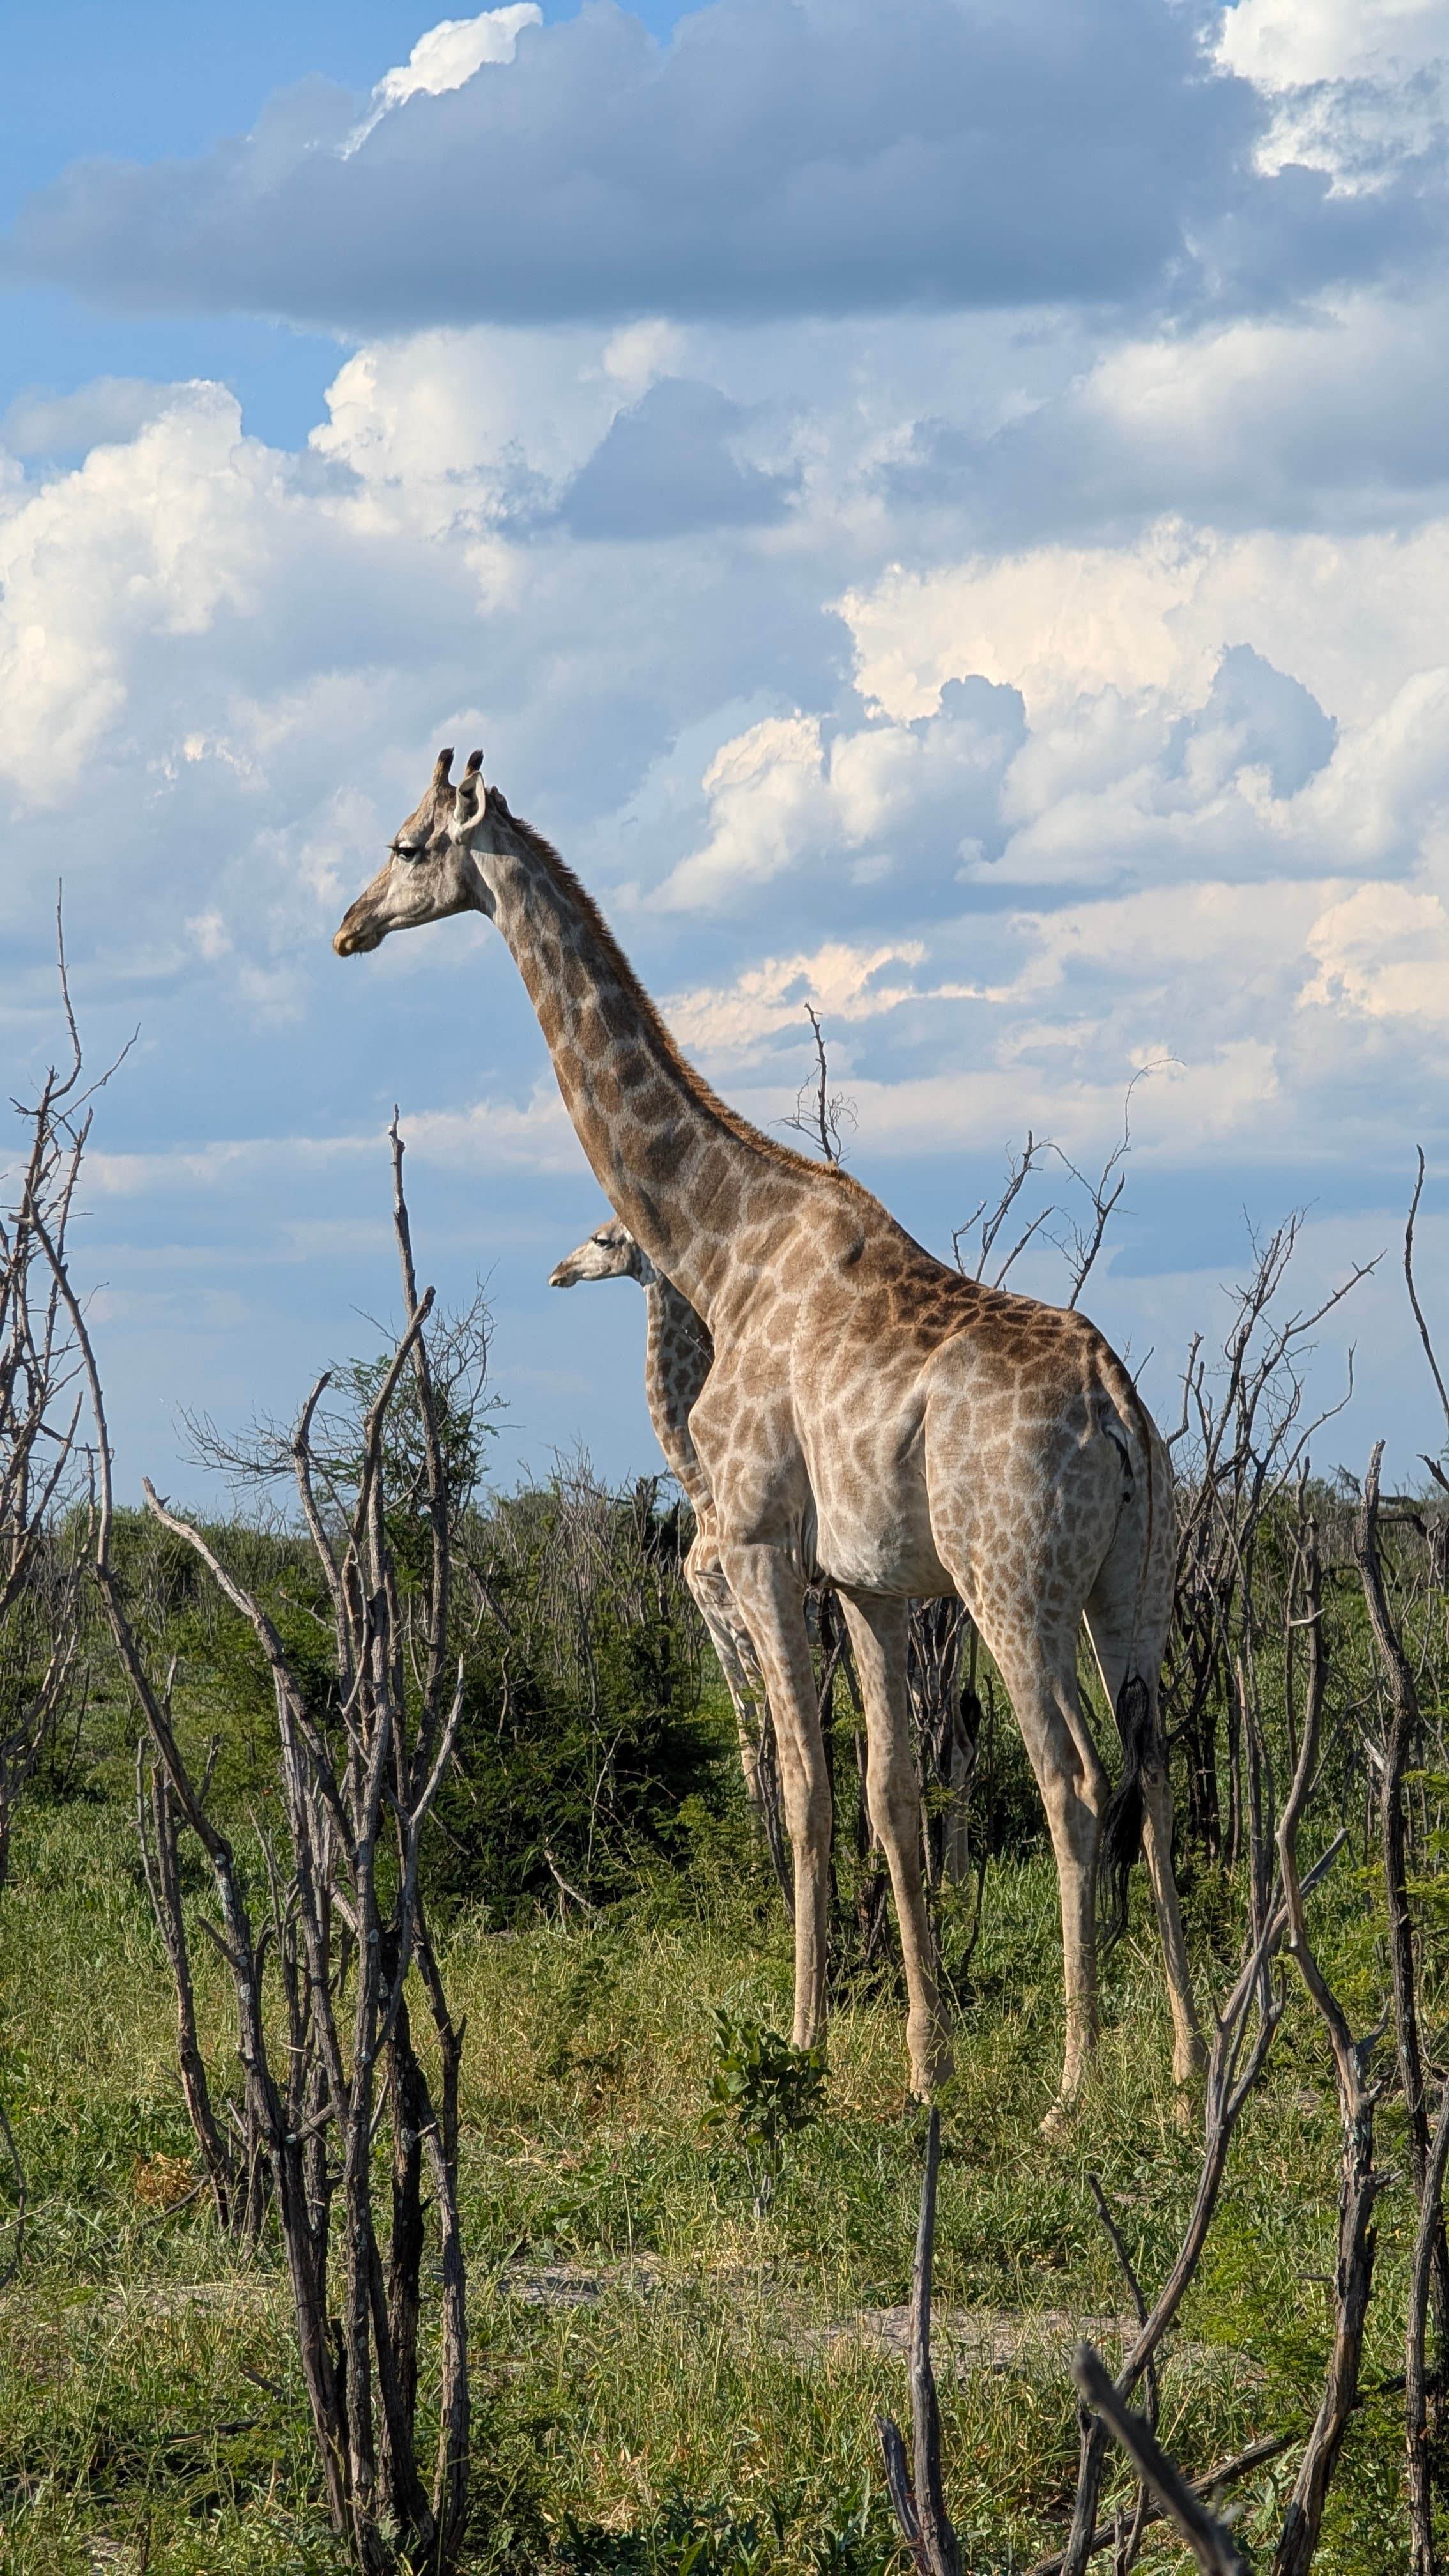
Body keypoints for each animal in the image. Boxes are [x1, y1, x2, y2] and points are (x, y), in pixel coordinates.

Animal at [548, 1214, 793, 1907]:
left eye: (604, 1239)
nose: (558, 1273)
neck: (700, 1488)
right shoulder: (713, 1624)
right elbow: (745, 1735)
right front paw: (761, 1859)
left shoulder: (735, 1612)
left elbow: (765, 1733)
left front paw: (773, 1869)